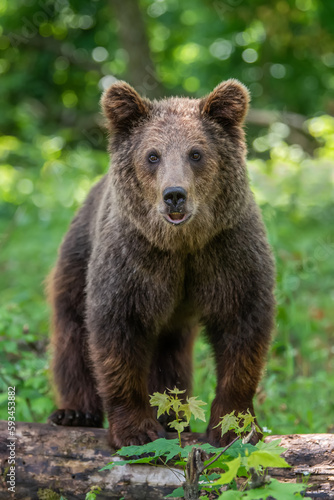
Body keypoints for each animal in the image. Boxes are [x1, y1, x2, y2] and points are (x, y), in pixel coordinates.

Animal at [48, 79, 276, 450]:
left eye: (196, 153)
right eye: (152, 155)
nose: (174, 195)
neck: (181, 245)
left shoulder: (227, 253)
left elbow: (242, 329)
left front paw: (234, 428)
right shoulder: (133, 261)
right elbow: (117, 334)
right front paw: (136, 431)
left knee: (170, 353)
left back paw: (171, 414)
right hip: (78, 256)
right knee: (72, 328)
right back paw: (74, 412)